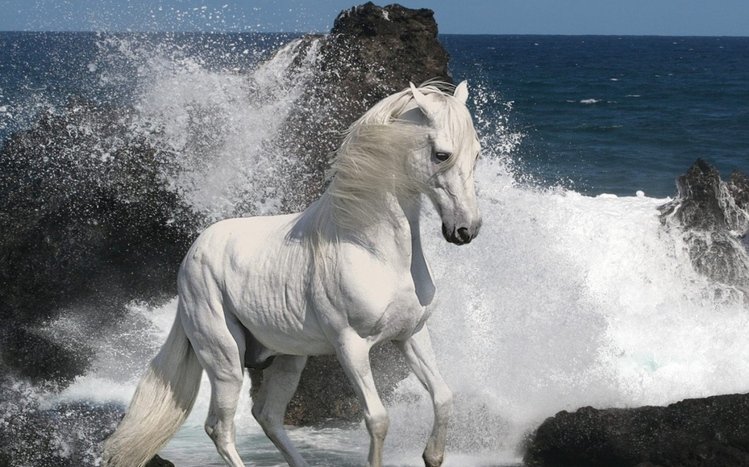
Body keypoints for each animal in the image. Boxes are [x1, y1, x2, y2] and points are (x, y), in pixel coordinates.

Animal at [102, 81, 482, 467]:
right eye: (441, 154)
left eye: (477, 155)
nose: (465, 230)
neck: (371, 249)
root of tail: (192, 254)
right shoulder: (350, 346)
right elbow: (377, 419)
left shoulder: (411, 335)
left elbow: (444, 397)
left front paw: (431, 455)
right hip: (225, 360)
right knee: (220, 428)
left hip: (288, 358)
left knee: (267, 415)